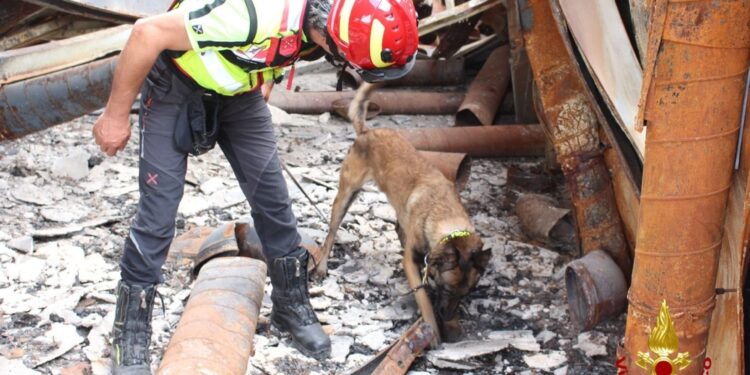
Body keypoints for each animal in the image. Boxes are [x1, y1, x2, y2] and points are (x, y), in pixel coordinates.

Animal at [312, 83, 494, 346]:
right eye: (447, 290)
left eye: (466, 293)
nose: (447, 316)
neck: (444, 216)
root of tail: (367, 132)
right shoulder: (412, 263)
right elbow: (424, 299)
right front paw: (433, 331)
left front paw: (453, 326)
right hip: (345, 196)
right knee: (330, 234)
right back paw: (322, 267)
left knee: (398, 227)